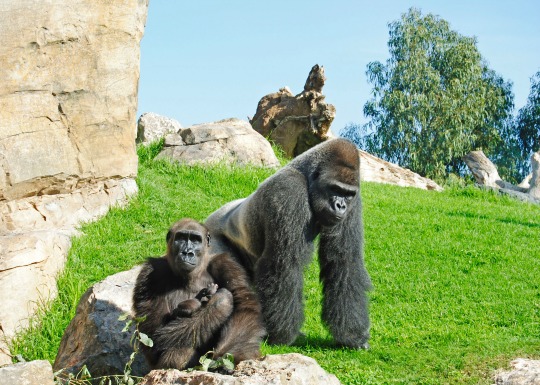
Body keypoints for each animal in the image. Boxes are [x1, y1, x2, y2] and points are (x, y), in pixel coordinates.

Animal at [132, 218, 264, 368]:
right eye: (181, 238)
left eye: (196, 240)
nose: (187, 252)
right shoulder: (151, 273)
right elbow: (154, 334)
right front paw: (220, 304)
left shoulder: (225, 263)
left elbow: (244, 305)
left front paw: (226, 357)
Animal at [205, 137, 374, 348]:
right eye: (335, 189)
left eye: (348, 194)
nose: (340, 206)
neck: (307, 177)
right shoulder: (289, 191)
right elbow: (284, 265)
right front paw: (281, 336)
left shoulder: (354, 203)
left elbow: (343, 264)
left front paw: (352, 335)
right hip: (211, 241)